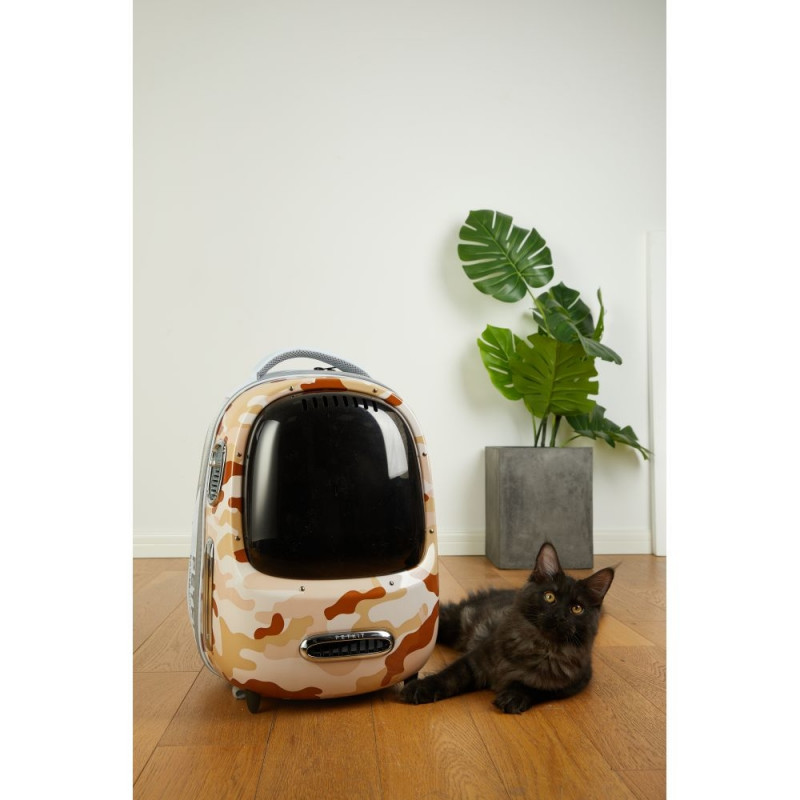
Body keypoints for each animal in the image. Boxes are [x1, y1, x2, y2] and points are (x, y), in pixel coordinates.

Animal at [400, 541, 615, 714]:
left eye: (577, 609)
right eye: (549, 597)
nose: (559, 616)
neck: (539, 647)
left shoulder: (573, 681)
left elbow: (536, 688)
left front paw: (513, 696)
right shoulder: (476, 659)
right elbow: (449, 676)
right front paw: (420, 688)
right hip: (455, 624)